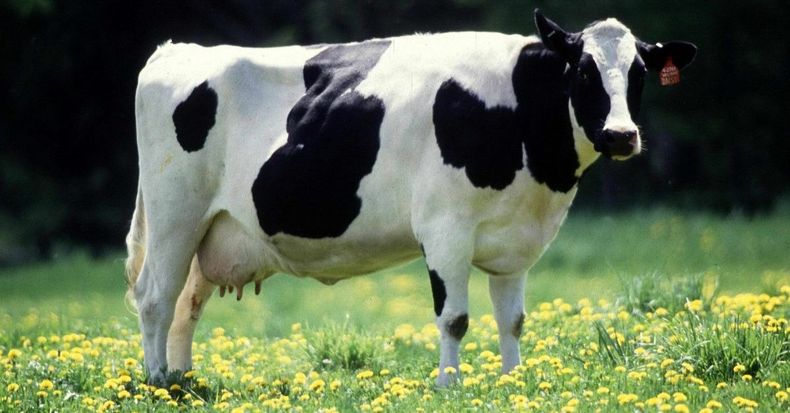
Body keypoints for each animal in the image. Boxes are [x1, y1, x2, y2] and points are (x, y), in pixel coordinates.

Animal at [125, 9, 696, 386]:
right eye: (583, 71)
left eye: (639, 73)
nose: (621, 135)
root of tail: (176, 50)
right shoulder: (445, 228)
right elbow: (455, 318)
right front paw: (449, 386)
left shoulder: (516, 240)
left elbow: (512, 319)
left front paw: (513, 382)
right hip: (175, 213)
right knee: (155, 297)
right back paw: (158, 383)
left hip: (212, 229)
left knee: (186, 303)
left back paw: (183, 380)